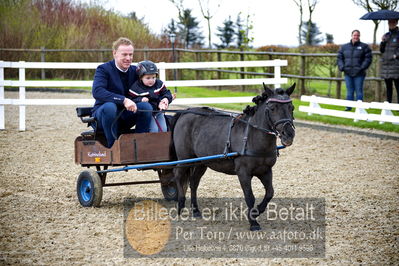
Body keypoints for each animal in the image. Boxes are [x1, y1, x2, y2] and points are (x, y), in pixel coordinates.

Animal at [170, 83, 296, 231]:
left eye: (291, 107)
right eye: (272, 108)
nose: (289, 134)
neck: (252, 136)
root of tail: (186, 111)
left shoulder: (265, 171)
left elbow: (270, 193)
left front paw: (257, 211)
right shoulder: (243, 173)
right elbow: (249, 196)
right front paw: (253, 222)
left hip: (201, 162)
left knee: (194, 182)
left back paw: (195, 210)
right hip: (185, 158)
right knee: (178, 174)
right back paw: (180, 205)